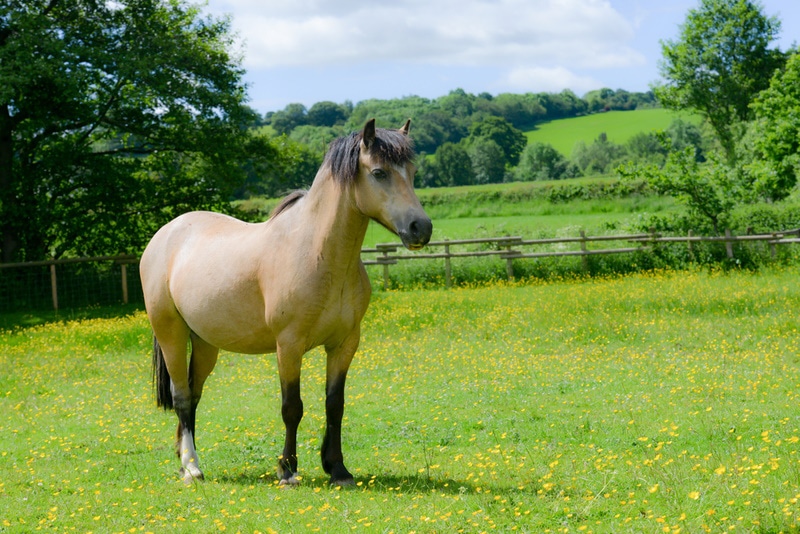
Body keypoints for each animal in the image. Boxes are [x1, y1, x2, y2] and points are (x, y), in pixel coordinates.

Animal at [141, 120, 434, 486]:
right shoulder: (289, 345)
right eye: (379, 172)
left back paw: (184, 462)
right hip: (171, 334)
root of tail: (165, 234)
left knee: (193, 396)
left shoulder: (345, 343)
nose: (420, 228)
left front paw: (337, 469)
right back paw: (193, 467)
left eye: (413, 172)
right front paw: (288, 470)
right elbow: (292, 407)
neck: (318, 253)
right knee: (181, 397)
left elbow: (334, 404)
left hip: (206, 343)